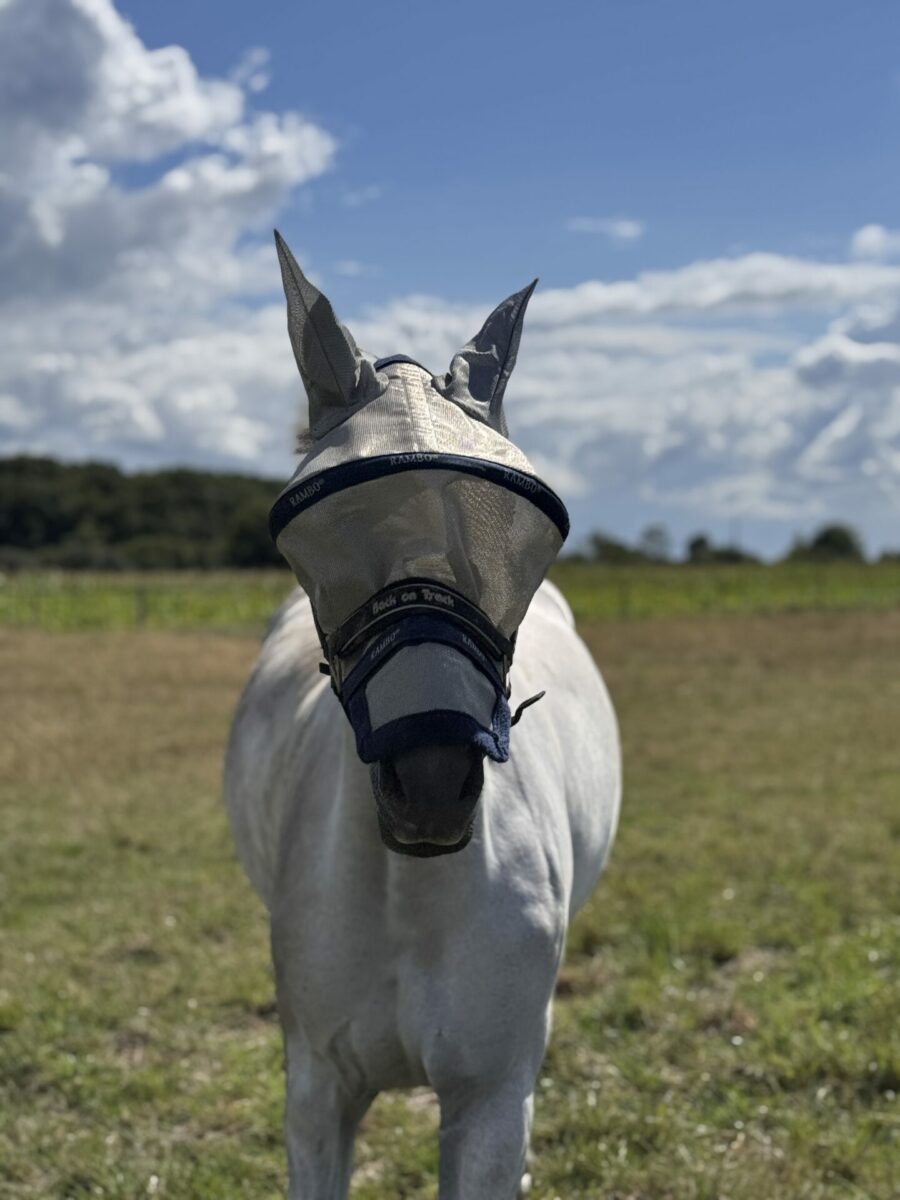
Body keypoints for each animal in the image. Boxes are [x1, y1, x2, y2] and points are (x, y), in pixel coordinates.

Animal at [224, 232, 622, 1199]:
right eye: (316, 532)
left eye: (523, 531)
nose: (433, 785)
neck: (410, 893)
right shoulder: (318, 1097)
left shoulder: (490, 1102)